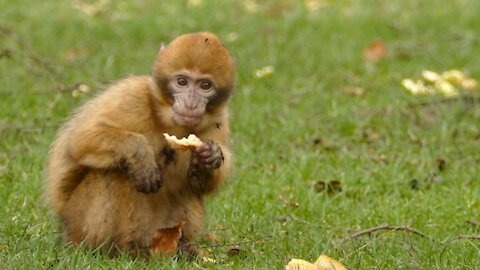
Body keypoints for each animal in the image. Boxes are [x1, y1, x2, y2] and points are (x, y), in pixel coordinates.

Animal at [46, 32, 237, 258]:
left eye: (205, 86)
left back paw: (179, 247)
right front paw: (139, 152)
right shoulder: (132, 97)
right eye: (182, 82)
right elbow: (80, 140)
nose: (191, 104)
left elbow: (202, 185)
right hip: (77, 222)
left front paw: (210, 156)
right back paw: (113, 251)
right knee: (111, 174)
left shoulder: (220, 118)